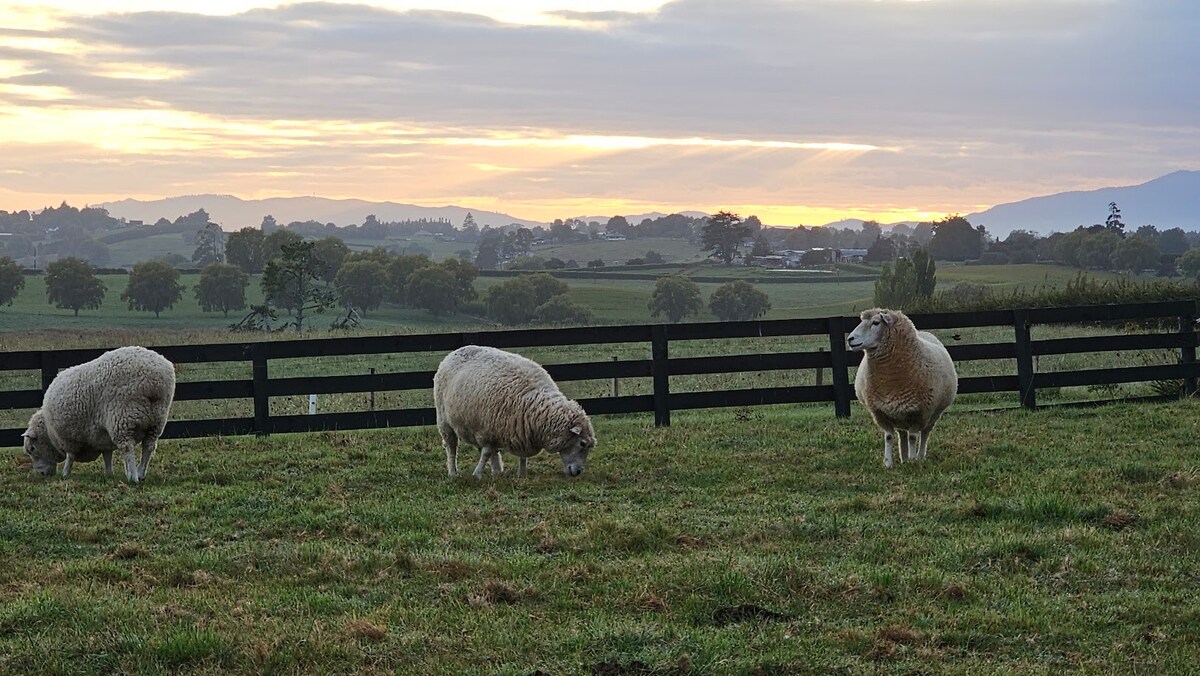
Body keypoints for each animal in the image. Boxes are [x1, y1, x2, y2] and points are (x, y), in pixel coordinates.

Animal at [21, 345, 176, 485]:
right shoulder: (103, 438)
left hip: (122, 418)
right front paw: (109, 474)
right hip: (157, 419)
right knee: (148, 446)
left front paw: (65, 474)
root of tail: (154, 381)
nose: (42, 474)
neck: (49, 430)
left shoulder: (69, 438)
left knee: (127, 447)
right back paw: (141, 473)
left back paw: (133, 477)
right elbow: (107, 455)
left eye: (32, 449)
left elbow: (70, 456)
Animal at [434, 345, 597, 477]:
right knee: (452, 447)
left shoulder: (521, 429)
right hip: (444, 420)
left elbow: (519, 455)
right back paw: (453, 473)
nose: (578, 472)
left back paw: (496, 471)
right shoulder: (487, 429)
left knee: (492, 451)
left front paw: (522, 473)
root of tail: (454, 352)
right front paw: (477, 474)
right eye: (582, 443)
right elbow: (486, 453)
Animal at [849, 309, 960, 468]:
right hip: (899, 414)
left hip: (933, 413)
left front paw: (913, 461)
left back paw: (919, 456)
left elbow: (913, 437)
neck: (890, 381)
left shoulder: (919, 412)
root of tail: (924, 332)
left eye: (876, 323)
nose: (850, 339)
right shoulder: (880, 412)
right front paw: (888, 464)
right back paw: (904, 458)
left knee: (925, 433)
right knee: (902, 434)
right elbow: (889, 437)